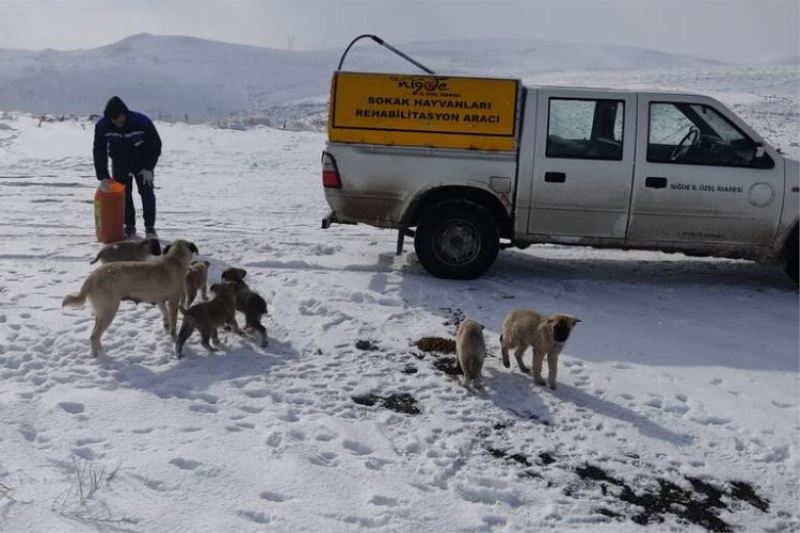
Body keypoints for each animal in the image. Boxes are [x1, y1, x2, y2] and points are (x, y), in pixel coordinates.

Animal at [62, 239, 198, 356]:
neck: (175, 259)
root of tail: (90, 279)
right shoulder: (173, 300)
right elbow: (173, 321)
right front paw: (173, 335)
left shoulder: (159, 299)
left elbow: (165, 313)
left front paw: (166, 324)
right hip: (109, 311)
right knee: (94, 336)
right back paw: (98, 357)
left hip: (101, 313)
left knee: (95, 334)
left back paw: (101, 351)